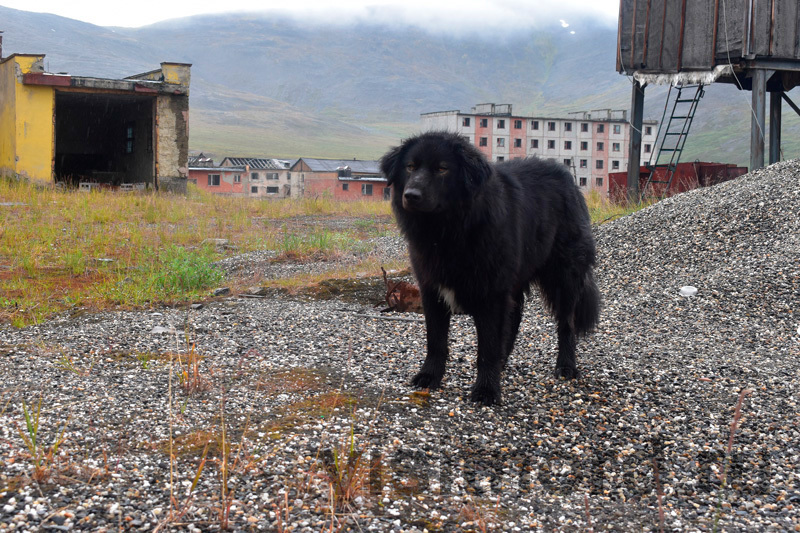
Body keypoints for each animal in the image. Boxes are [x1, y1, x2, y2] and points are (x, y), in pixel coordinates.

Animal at [382, 131, 600, 406]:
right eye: (410, 167)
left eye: (442, 169)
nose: (411, 195)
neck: (449, 231)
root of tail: (567, 178)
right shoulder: (432, 290)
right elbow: (436, 341)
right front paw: (429, 376)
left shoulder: (492, 294)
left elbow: (487, 347)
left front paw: (486, 390)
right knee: (515, 320)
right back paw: (503, 364)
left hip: (564, 278)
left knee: (566, 324)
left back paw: (566, 366)